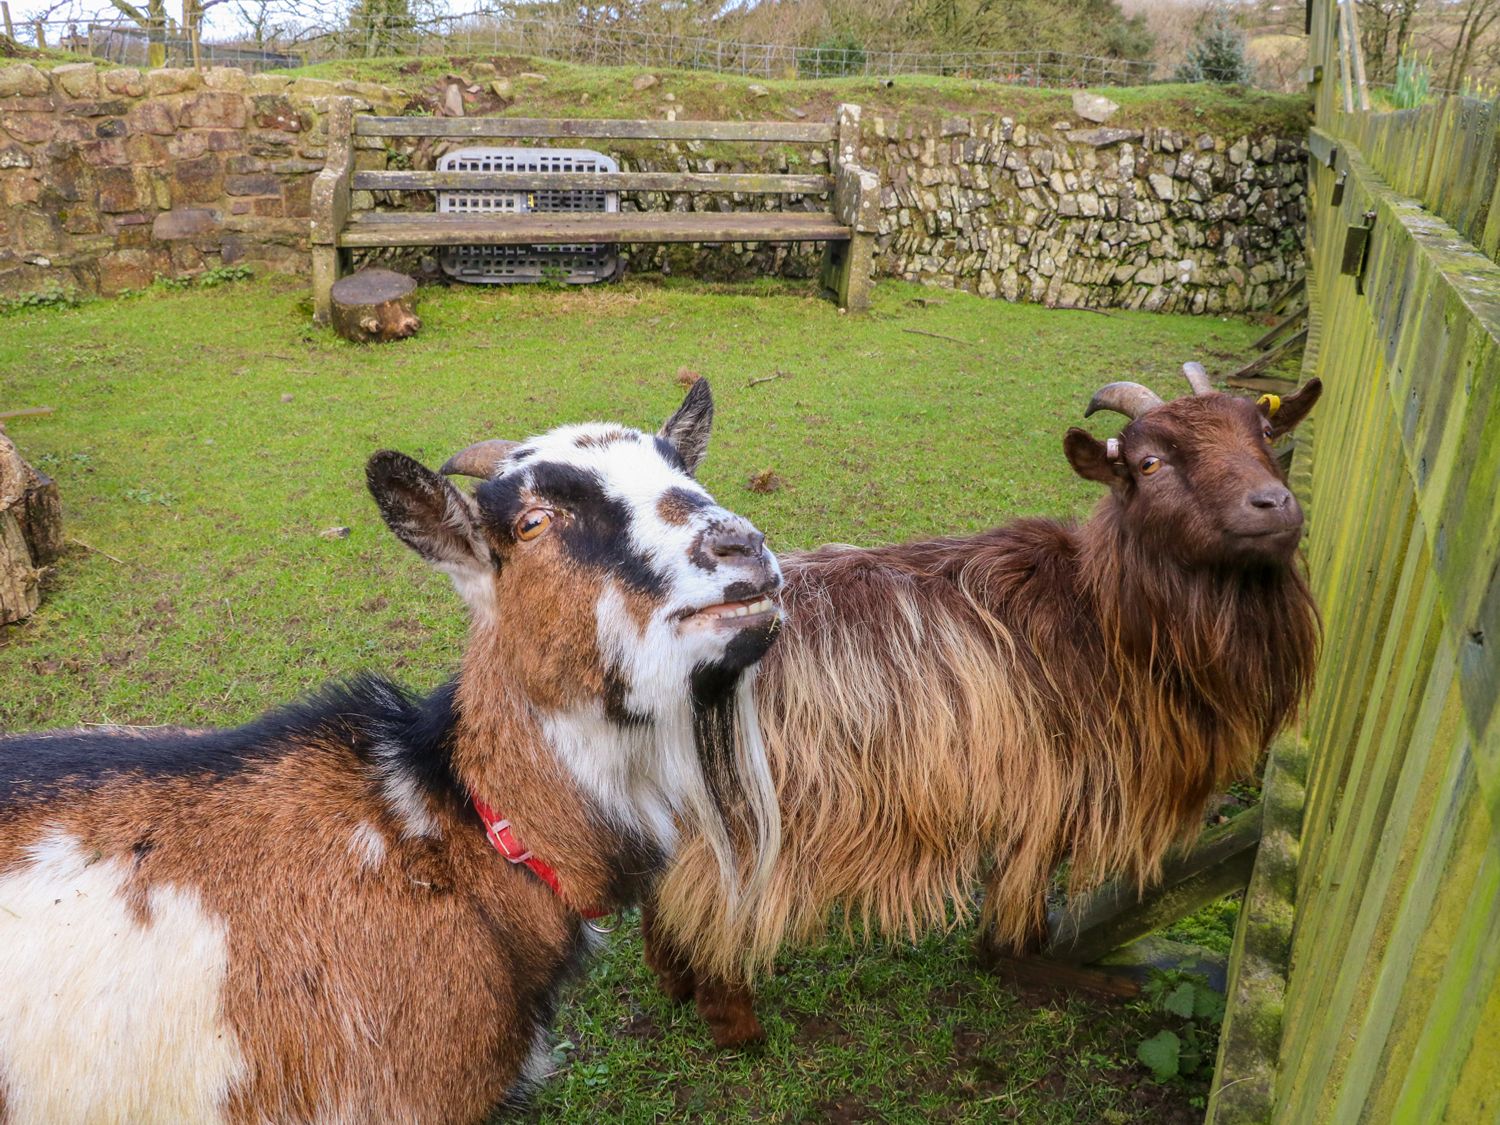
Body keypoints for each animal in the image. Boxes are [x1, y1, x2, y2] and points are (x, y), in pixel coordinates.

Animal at [639, 367, 1320, 1050]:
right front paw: (1033, 960)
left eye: (1264, 432)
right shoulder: (1054, 783)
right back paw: (734, 1021)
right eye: (1149, 462)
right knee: (707, 900)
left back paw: (673, 984)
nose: (1272, 505)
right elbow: (1028, 884)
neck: (1098, 615)